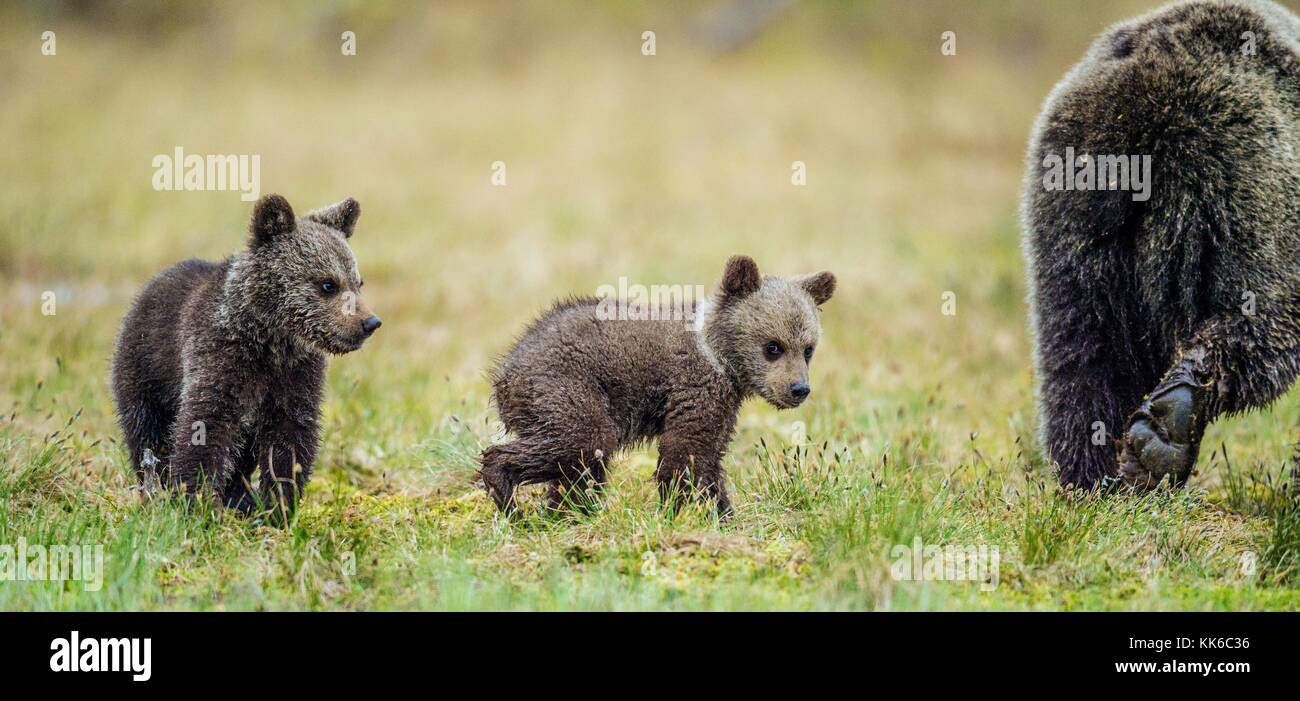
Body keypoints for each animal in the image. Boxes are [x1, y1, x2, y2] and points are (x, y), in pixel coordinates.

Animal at [110, 194, 381, 518]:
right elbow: (205, 426)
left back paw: (241, 498)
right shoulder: (221, 358)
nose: (370, 322)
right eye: (328, 284)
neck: (269, 341)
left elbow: (290, 439)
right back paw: (156, 484)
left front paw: (278, 505)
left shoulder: (294, 377)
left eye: (358, 282)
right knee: (146, 431)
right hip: (146, 368)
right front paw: (196, 502)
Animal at [479, 255, 836, 517]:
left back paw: (566, 513)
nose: (798, 389)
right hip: (566, 388)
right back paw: (510, 502)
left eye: (808, 348)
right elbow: (686, 456)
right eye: (773, 346)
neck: (721, 360)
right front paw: (679, 512)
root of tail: (505, 373)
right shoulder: (696, 390)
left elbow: (709, 459)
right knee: (581, 442)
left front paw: (723, 515)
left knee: (581, 469)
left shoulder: (723, 406)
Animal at [1021, 0, 1300, 490]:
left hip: (1070, 216)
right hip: (1247, 193)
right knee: (1261, 318)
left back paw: (1106, 474)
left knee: (1082, 354)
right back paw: (1171, 421)